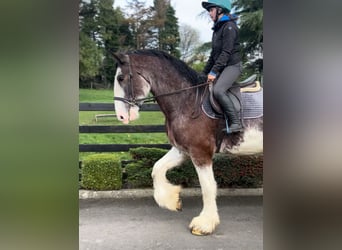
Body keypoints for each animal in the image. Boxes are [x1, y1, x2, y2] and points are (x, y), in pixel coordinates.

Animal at [112, 49, 262, 236]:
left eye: (121, 78)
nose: (121, 117)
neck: (188, 100)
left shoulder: (200, 152)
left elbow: (207, 186)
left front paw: (204, 224)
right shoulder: (182, 150)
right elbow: (157, 169)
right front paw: (172, 200)